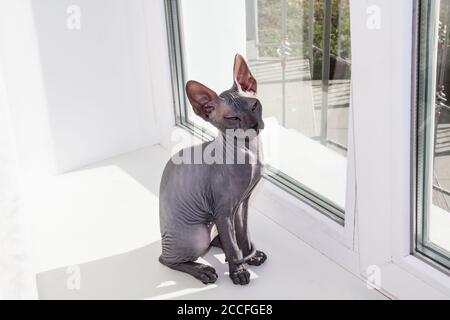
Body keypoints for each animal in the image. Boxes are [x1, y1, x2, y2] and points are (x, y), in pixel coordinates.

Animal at [158, 54, 266, 284]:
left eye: (254, 106)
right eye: (232, 118)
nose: (253, 125)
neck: (249, 152)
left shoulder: (242, 203)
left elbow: (242, 234)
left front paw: (250, 256)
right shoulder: (223, 210)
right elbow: (233, 244)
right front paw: (239, 270)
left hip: (214, 220)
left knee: (220, 238)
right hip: (198, 234)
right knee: (166, 259)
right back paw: (202, 270)